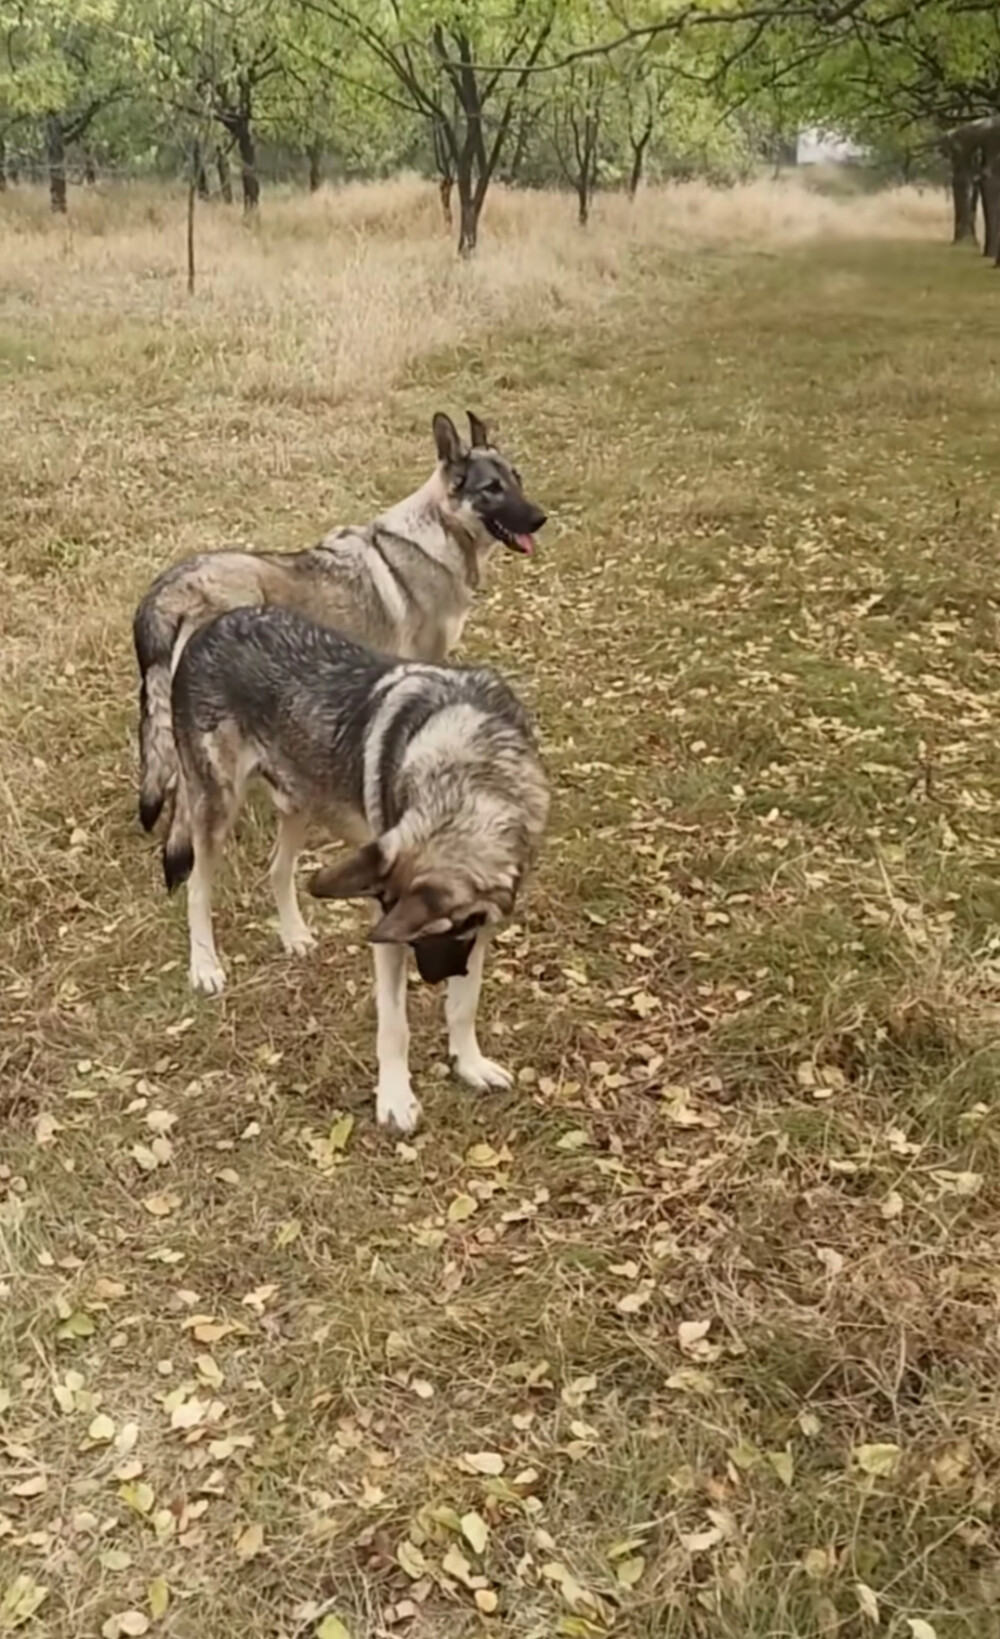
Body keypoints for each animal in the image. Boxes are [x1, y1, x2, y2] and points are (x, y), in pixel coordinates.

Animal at [162, 609, 544, 1134]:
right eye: (419, 939)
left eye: (453, 933)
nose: (435, 976)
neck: (468, 772)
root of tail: (210, 624)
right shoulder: (389, 930)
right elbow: (395, 1027)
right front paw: (396, 1100)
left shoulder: (484, 924)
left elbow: (463, 1007)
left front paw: (469, 1065)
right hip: (217, 809)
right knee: (198, 890)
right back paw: (205, 966)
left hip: (299, 800)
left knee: (277, 870)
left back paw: (294, 935)